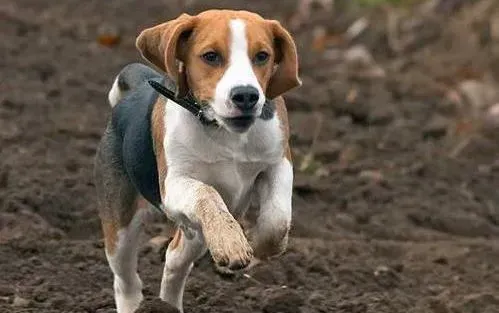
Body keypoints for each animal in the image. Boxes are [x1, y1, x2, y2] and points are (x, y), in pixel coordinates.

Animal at [95, 9, 302, 312]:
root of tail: (137, 87)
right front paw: (231, 243)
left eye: (262, 56)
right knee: (126, 280)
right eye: (211, 56)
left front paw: (258, 248)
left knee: (174, 256)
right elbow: (206, 192)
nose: (246, 95)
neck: (223, 130)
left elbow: (277, 220)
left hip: (195, 234)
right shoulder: (174, 184)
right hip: (120, 223)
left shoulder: (278, 161)